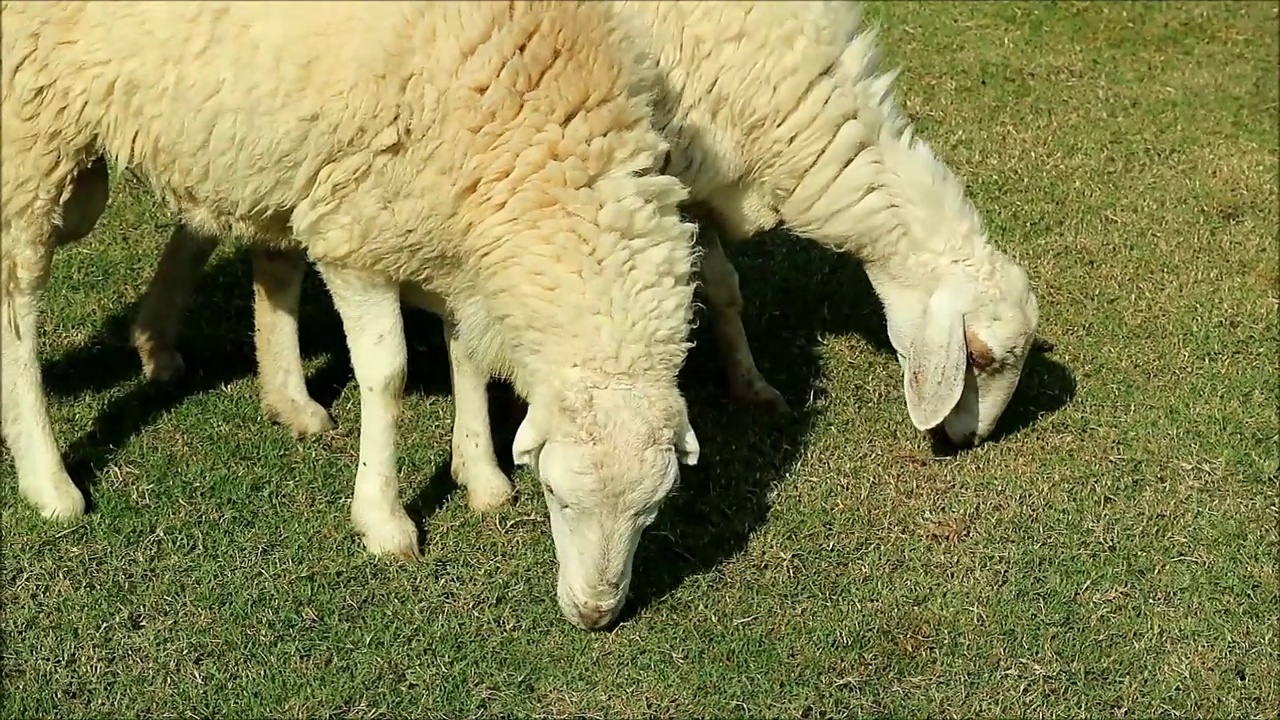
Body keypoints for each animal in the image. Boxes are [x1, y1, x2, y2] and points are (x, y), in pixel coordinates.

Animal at [0, 0, 701, 627]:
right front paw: (384, 520)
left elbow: (469, 356)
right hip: (32, 127)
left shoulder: (450, 235)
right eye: (558, 496)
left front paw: (479, 474)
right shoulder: (356, 233)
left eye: (653, 511)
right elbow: (387, 374)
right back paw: (48, 479)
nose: (596, 615)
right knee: (18, 299)